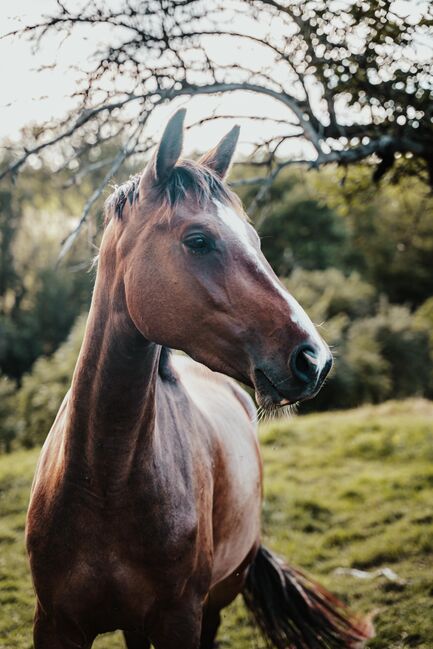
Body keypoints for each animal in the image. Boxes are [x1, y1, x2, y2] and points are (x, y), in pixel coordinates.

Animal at [26, 111, 372, 648]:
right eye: (198, 241)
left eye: (255, 240)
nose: (314, 360)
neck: (102, 481)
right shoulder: (55, 623)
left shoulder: (181, 618)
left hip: (217, 598)